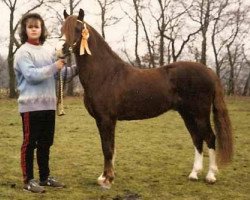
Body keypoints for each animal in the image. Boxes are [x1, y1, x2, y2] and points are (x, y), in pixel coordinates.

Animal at [56, 8, 232, 189]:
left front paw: (107, 179)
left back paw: (210, 176)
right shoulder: (101, 120)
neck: (106, 74)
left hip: (200, 114)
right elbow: (107, 147)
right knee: (197, 138)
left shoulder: (106, 119)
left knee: (210, 137)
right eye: (62, 29)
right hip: (187, 114)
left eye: (78, 29)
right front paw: (104, 177)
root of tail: (209, 71)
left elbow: (108, 148)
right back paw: (194, 174)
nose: (60, 49)